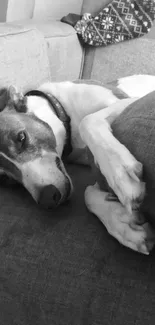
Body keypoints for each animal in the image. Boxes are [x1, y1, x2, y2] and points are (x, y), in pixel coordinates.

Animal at [0, 74, 155, 254]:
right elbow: (88, 193)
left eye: (21, 138)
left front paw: (121, 174)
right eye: (6, 180)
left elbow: (87, 121)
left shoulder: (127, 100)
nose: (48, 199)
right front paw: (122, 225)